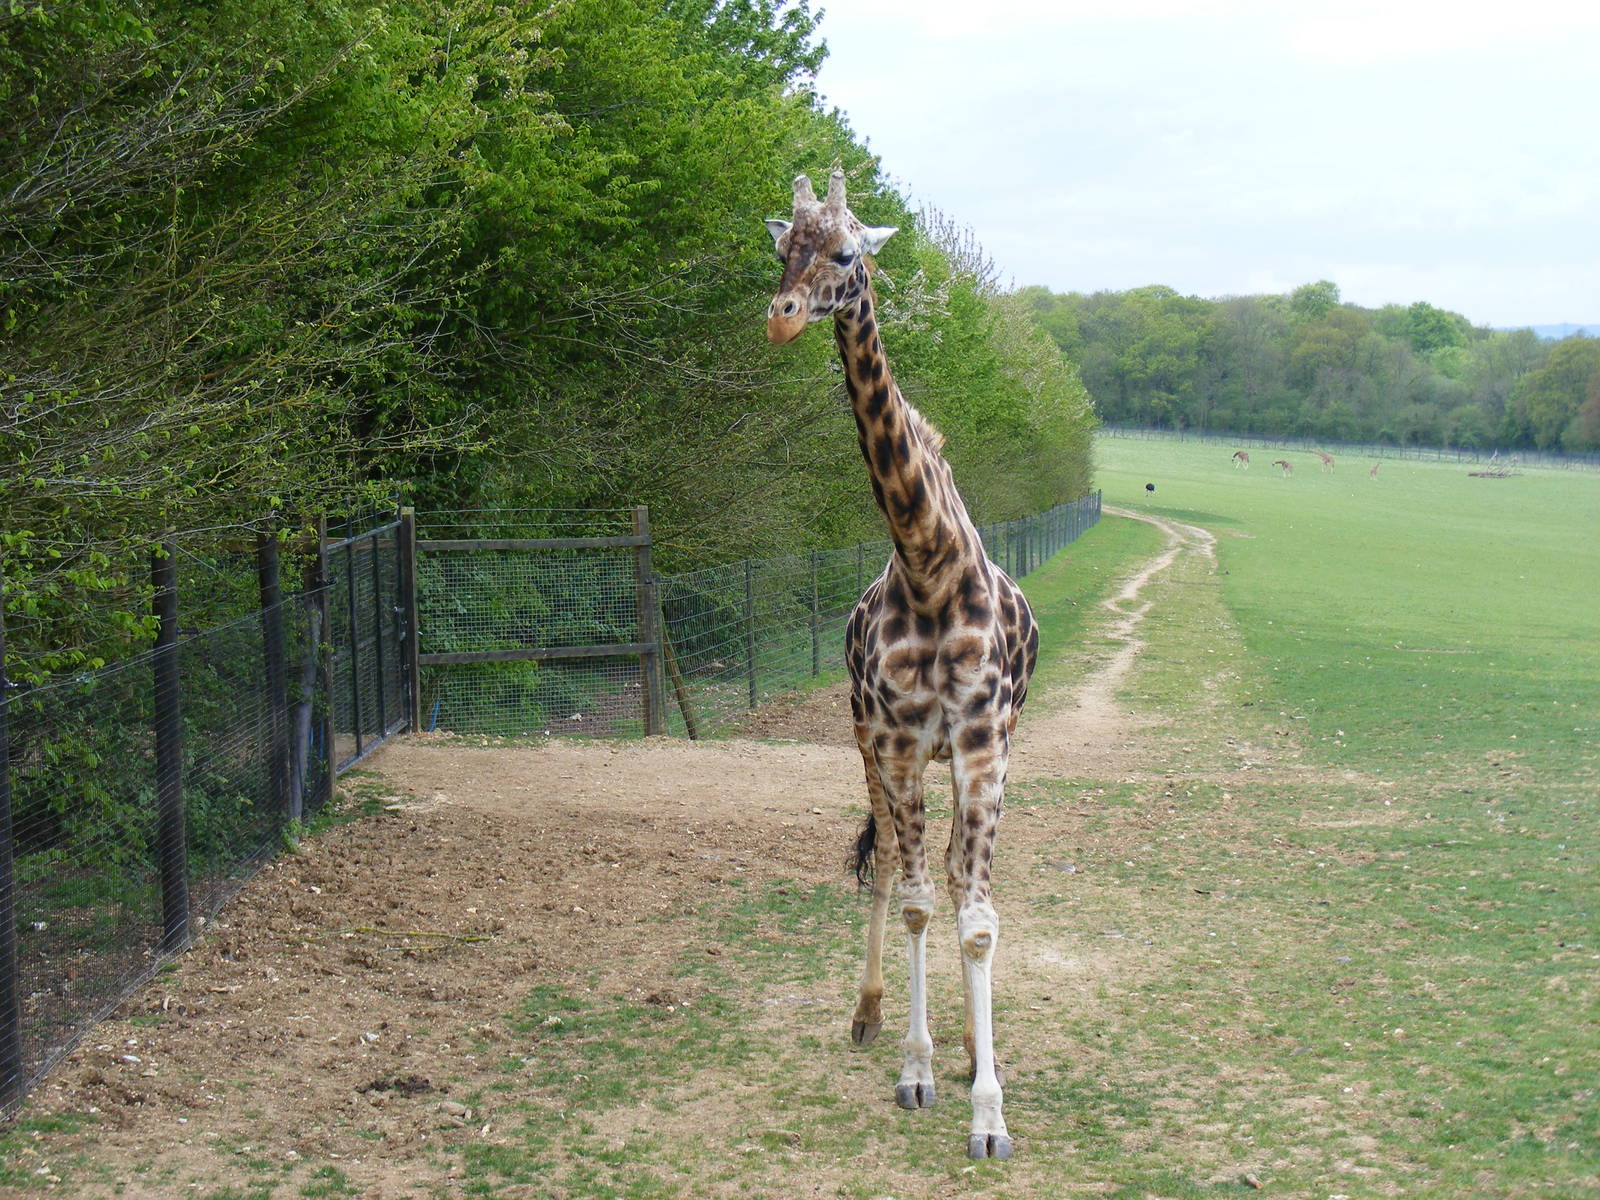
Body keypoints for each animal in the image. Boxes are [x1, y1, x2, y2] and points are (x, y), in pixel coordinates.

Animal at [765, 169, 1039, 1160]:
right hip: (867, 742)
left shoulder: (984, 743)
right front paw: (917, 1071)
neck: (927, 563)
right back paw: (871, 1013)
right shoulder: (896, 738)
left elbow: (976, 916)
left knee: (955, 875)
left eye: (846, 251)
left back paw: (961, 1041)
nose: (782, 317)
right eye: (784, 248)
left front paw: (987, 1104)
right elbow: (919, 899)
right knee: (889, 860)